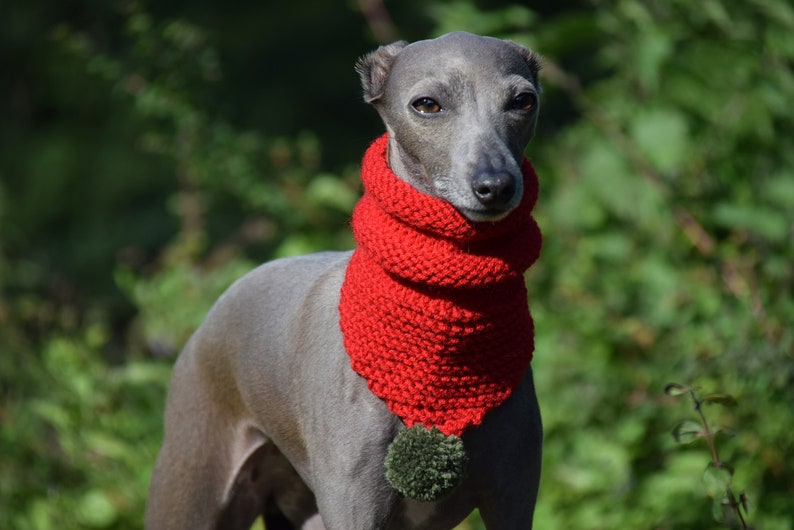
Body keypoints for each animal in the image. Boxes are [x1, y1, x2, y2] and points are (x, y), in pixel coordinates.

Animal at [145, 33, 540, 528]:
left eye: (524, 101)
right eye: (427, 104)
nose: (496, 185)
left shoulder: (513, 497)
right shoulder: (354, 503)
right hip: (192, 487)